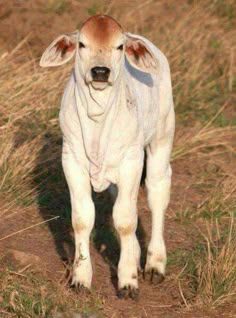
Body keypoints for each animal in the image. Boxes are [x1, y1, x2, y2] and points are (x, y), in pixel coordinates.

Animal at [39, 14, 174, 298]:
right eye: (81, 44)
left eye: (120, 47)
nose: (100, 72)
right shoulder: (72, 162)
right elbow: (82, 219)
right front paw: (80, 278)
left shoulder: (132, 162)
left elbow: (125, 220)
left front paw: (127, 281)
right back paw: (134, 253)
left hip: (161, 138)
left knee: (157, 191)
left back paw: (155, 264)